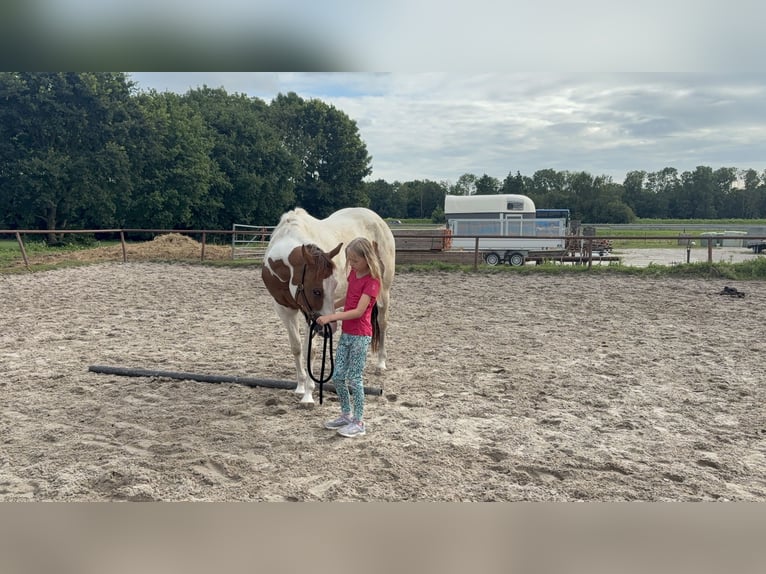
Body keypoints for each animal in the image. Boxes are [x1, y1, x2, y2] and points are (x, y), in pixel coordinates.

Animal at [260, 207, 396, 406]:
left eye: (333, 284)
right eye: (316, 290)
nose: (330, 328)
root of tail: (377, 219)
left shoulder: (310, 315)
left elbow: (310, 350)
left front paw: (308, 395)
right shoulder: (285, 309)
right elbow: (296, 347)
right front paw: (300, 386)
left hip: (383, 291)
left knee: (382, 323)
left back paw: (380, 364)